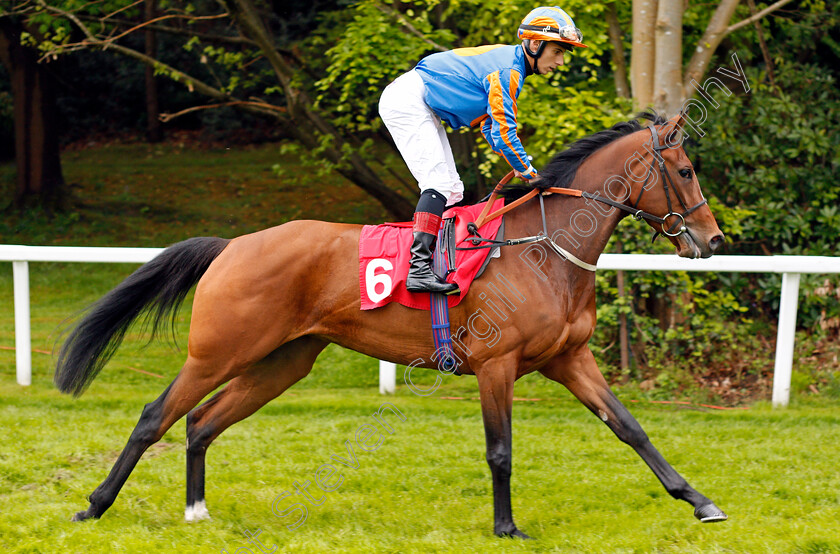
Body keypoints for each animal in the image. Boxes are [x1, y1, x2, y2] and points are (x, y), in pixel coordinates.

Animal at [57, 111, 728, 536]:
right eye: (686, 171)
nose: (713, 239)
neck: (543, 248)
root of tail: (232, 245)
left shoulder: (571, 359)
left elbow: (632, 430)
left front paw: (699, 501)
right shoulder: (497, 366)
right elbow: (501, 450)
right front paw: (506, 526)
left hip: (282, 362)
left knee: (200, 422)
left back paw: (196, 511)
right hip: (217, 352)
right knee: (156, 417)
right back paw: (94, 507)